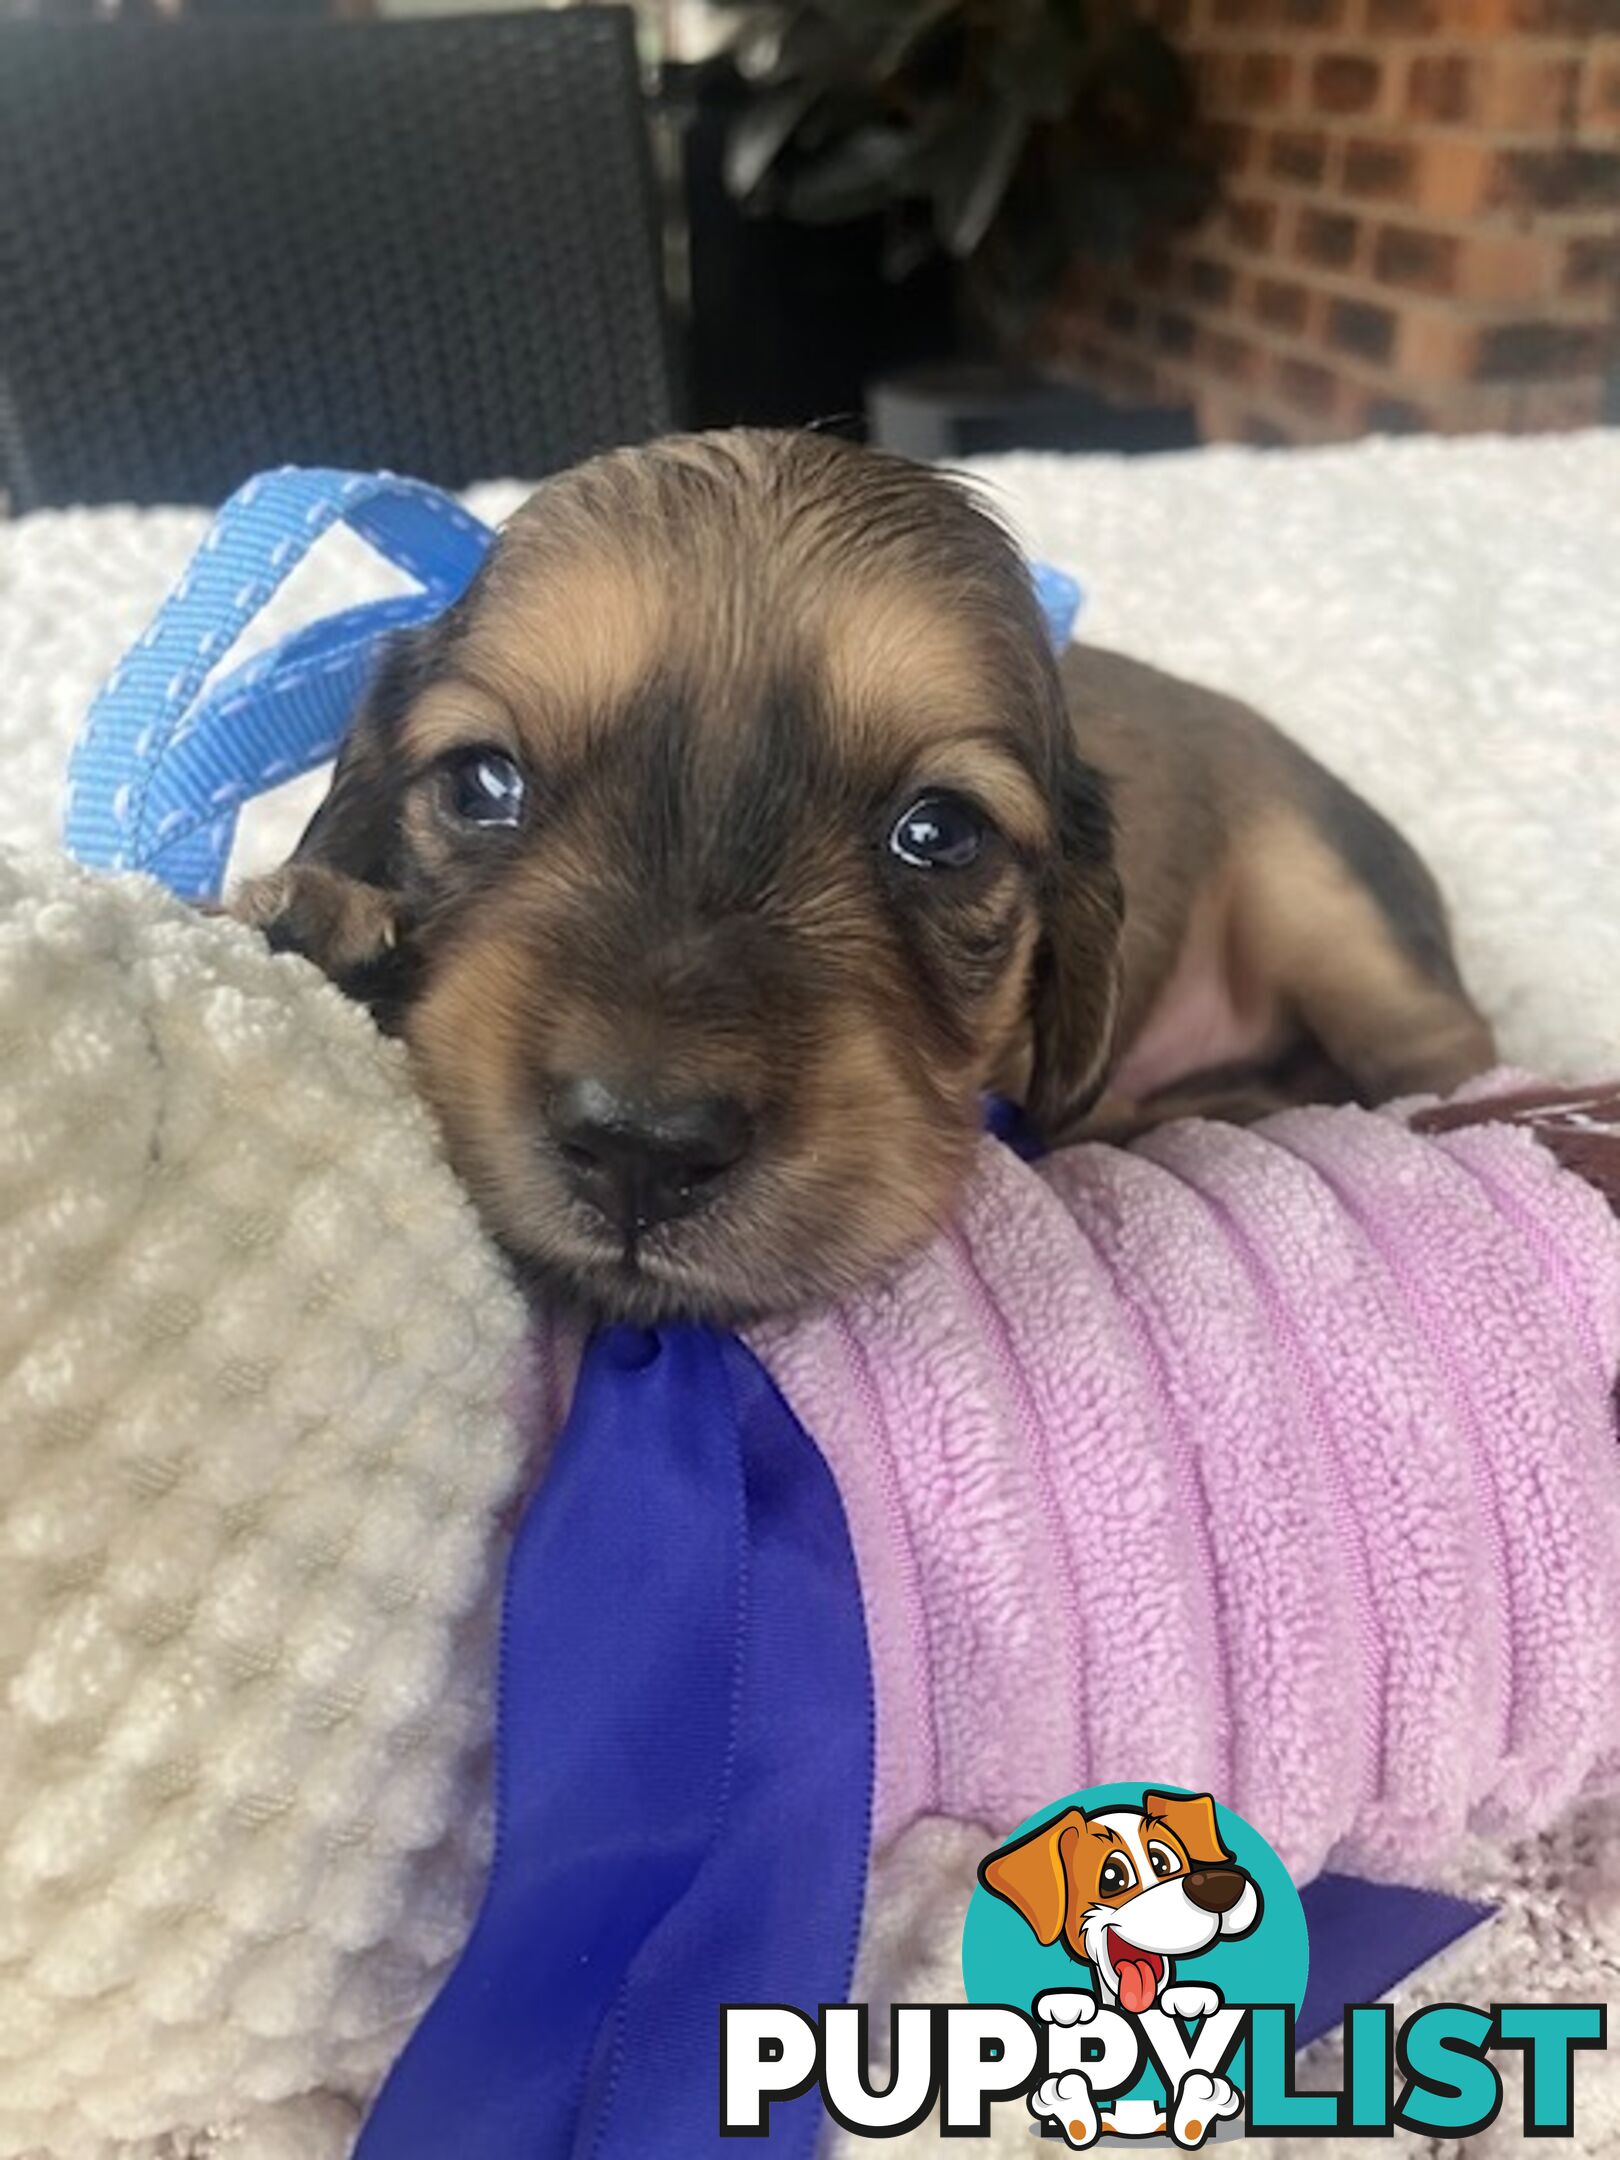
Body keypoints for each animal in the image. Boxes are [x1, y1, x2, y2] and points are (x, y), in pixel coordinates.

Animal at [237, 423, 1494, 1313]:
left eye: (939, 833)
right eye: (483, 784)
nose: (640, 1149)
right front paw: (319, 930)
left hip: (1329, 901)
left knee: (1445, 1061)